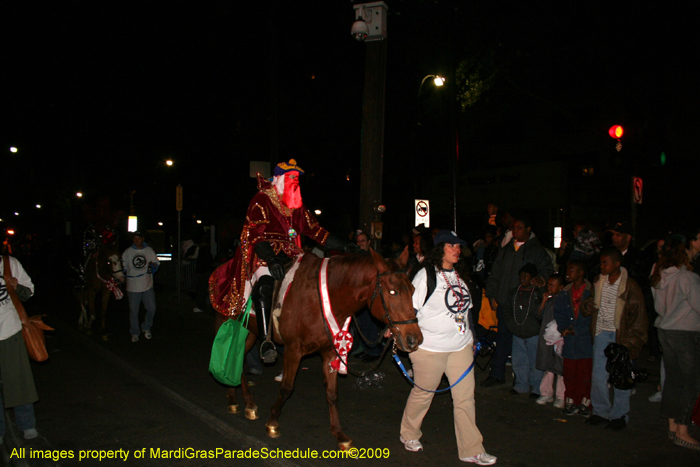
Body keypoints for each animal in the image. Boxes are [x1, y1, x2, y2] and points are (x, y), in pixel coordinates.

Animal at [217, 250, 422, 452]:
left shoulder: (330, 352)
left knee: (237, 359)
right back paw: (235, 399)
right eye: (392, 292)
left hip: (250, 332)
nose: (414, 339)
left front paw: (339, 434)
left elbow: (332, 394)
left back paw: (245, 402)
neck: (321, 299)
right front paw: (273, 422)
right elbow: (286, 388)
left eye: (413, 290)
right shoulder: (293, 349)